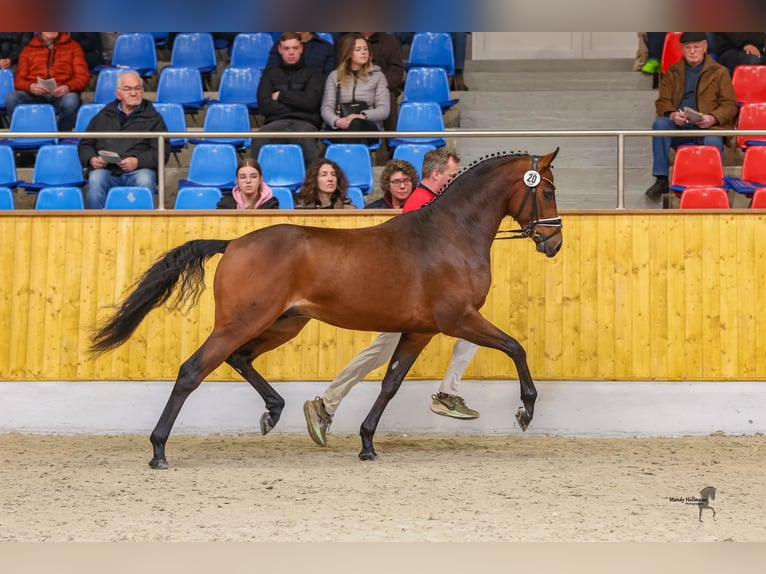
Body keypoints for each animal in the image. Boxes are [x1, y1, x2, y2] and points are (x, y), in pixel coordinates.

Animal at [91, 149, 563, 469]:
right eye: (548, 190)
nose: (554, 242)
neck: (449, 234)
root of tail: (235, 243)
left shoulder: (420, 329)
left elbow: (389, 384)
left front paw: (367, 444)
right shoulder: (459, 318)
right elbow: (515, 347)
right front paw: (526, 410)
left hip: (283, 324)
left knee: (240, 359)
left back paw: (275, 412)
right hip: (243, 321)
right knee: (193, 370)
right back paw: (158, 450)